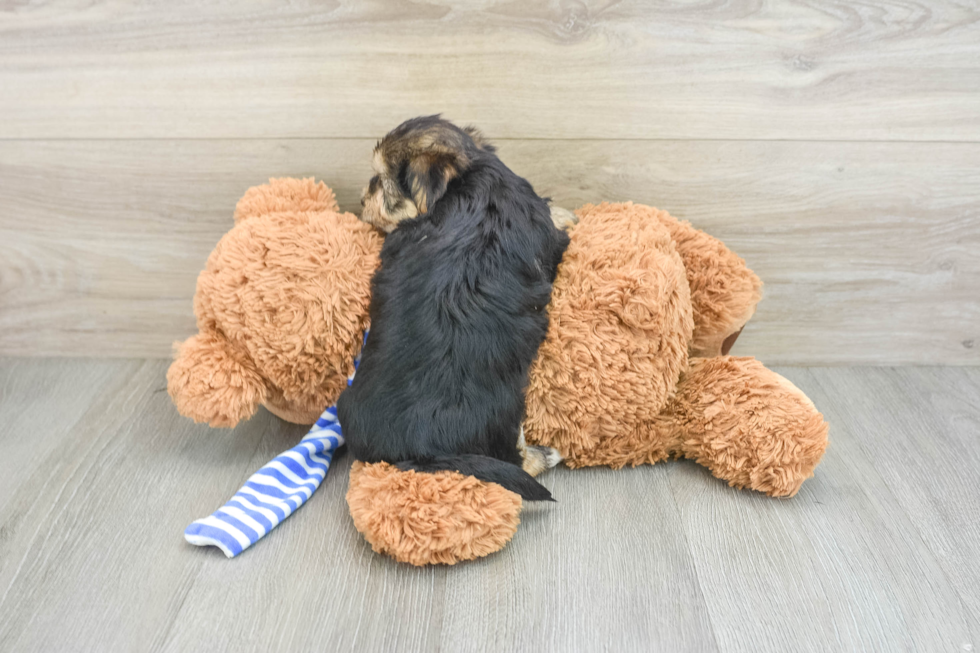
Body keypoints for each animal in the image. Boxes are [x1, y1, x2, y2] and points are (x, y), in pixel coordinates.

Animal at [336, 116, 568, 500]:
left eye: (382, 184)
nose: (361, 199)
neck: (468, 172)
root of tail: (422, 448)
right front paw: (568, 213)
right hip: (504, 415)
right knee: (516, 460)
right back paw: (547, 454)